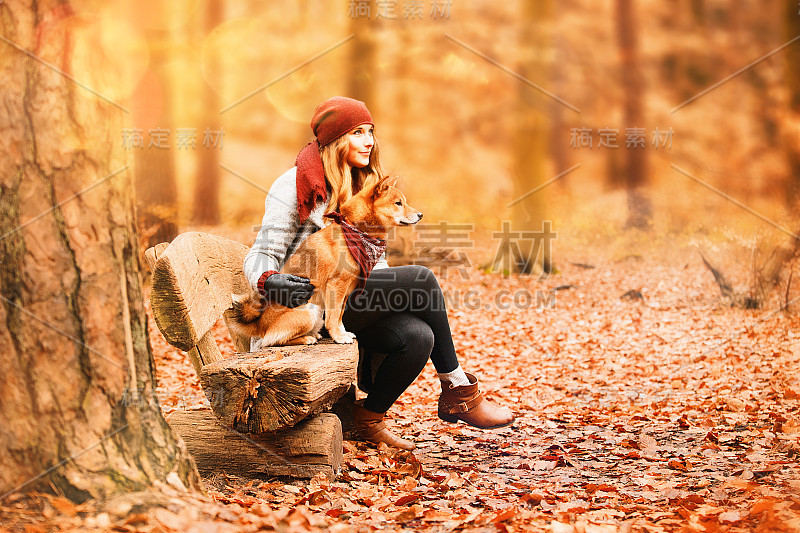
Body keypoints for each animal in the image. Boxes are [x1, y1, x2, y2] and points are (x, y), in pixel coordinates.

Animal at [228, 177, 422, 348]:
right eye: (398, 203)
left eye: (403, 202)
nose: (420, 214)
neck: (355, 230)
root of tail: (260, 325)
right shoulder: (337, 286)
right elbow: (333, 317)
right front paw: (338, 337)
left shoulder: (345, 290)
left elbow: (339, 316)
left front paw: (343, 333)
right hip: (308, 313)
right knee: (271, 341)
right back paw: (307, 338)